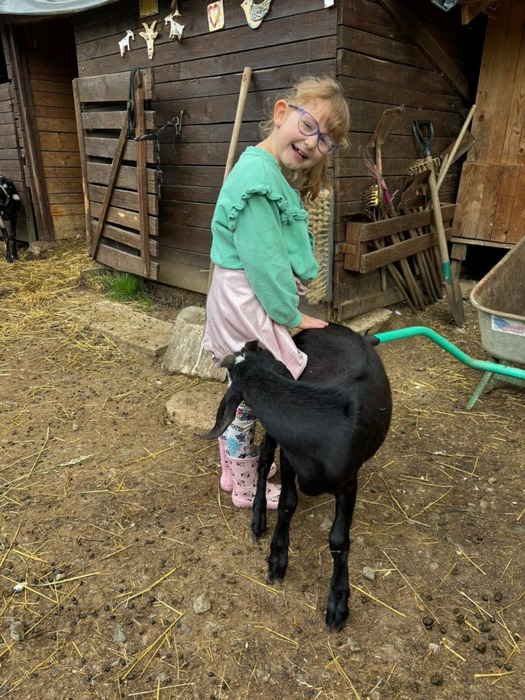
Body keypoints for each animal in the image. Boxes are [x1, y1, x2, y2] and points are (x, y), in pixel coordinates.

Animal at [202, 323, 392, 630]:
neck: (320, 420)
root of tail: (335, 325)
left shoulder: (348, 481)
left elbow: (339, 539)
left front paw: (338, 601)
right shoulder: (290, 458)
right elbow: (287, 503)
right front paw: (277, 557)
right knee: (264, 457)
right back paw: (258, 516)